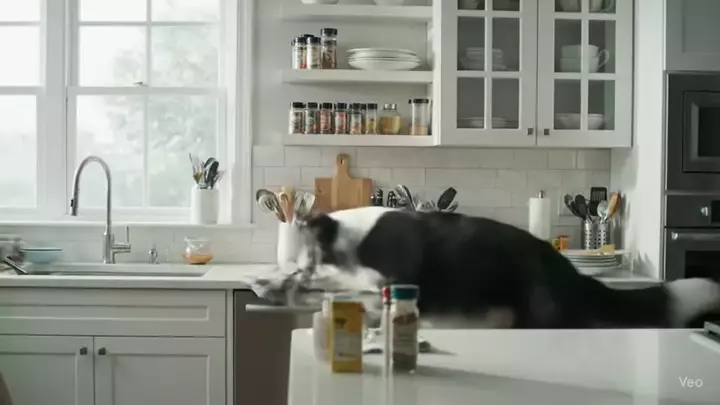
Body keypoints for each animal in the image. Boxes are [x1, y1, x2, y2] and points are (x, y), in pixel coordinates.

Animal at [294, 206, 720, 329]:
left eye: (308, 254)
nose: (295, 274)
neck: (355, 238)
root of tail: (571, 273)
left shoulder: (398, 275)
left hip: (542, 313)